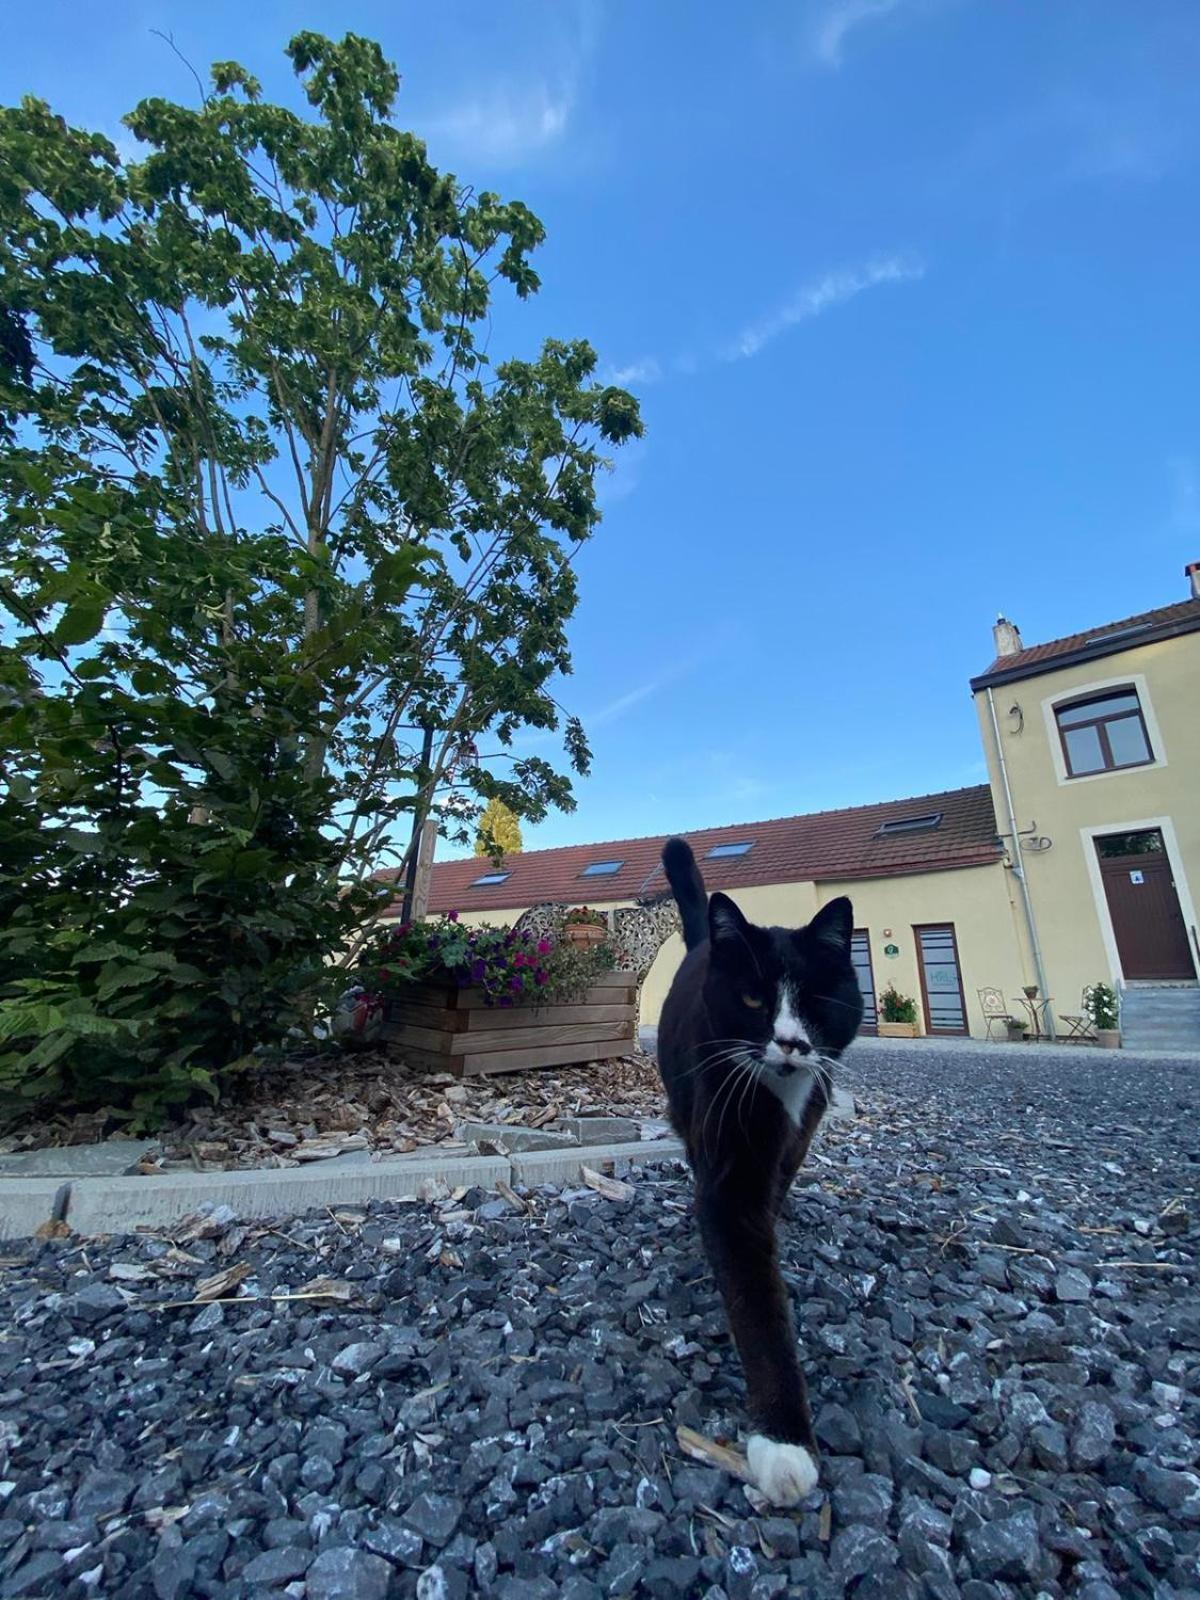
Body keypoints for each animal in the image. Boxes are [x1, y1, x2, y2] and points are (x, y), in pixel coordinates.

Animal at [659, 838, 864, 1510]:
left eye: (816, 1001)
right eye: (753, 1000)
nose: (792, 1042)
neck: (783, 1094)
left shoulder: (805, 1121)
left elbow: (773, 1196)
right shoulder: (728, 1153)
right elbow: (754, 1293)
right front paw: (784, 1444)